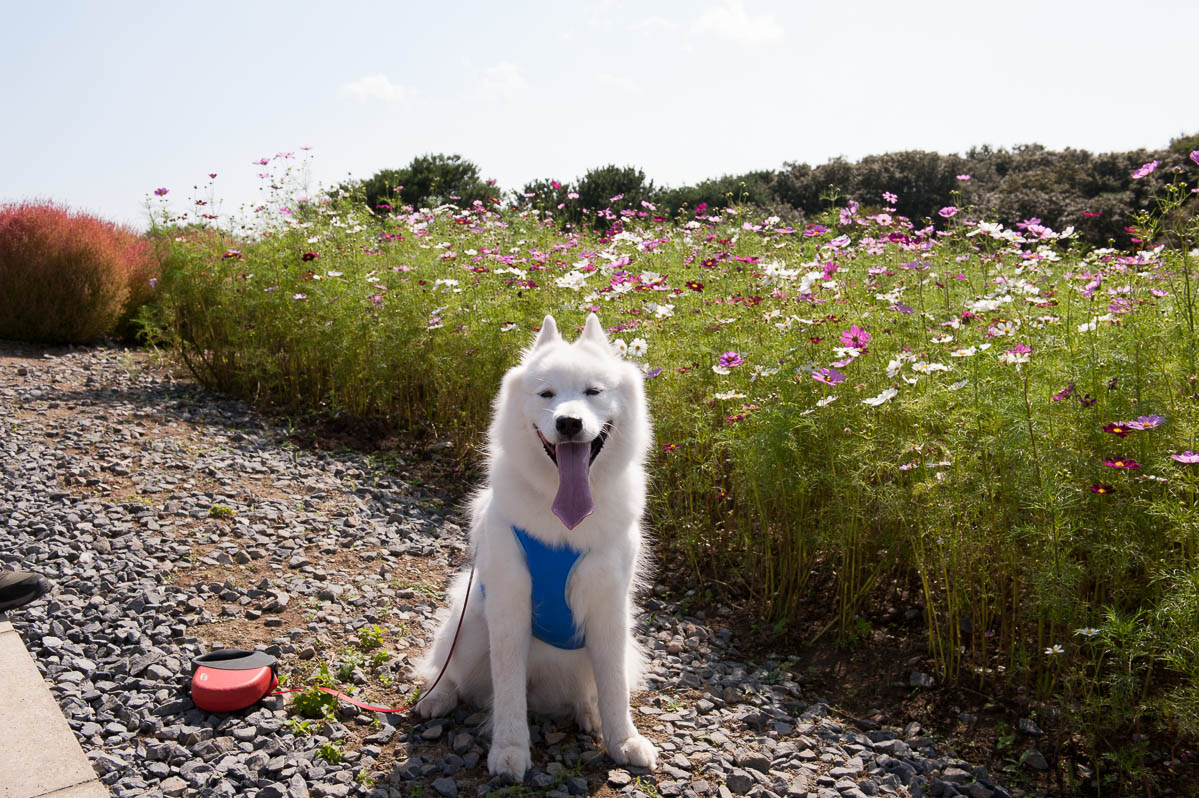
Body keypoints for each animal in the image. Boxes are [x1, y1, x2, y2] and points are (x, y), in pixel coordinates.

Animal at [414, 311, 657, 776]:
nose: (568, 423)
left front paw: (623, 741)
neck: (563, 521)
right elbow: (508, 690)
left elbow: (615, 687)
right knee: (447, 670)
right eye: (546, 394)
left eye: (593, 392)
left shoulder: (609, 608)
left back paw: (588, 713)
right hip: (469, 624)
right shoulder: (509, 605)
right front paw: (510, 750)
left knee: (590, 688)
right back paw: (437, 697)